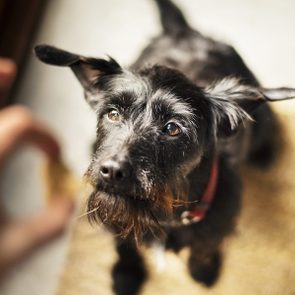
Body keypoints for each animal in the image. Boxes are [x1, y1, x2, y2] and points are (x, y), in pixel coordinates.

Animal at [33, 0, 295, 294]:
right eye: (113, 113)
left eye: (172, 128)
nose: (111, 170)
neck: (165, 213)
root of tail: (184, 32)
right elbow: (124, 244)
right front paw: (126, 274)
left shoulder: (218, 222)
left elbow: (205, 247)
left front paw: (203, 270)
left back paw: (265, 153)